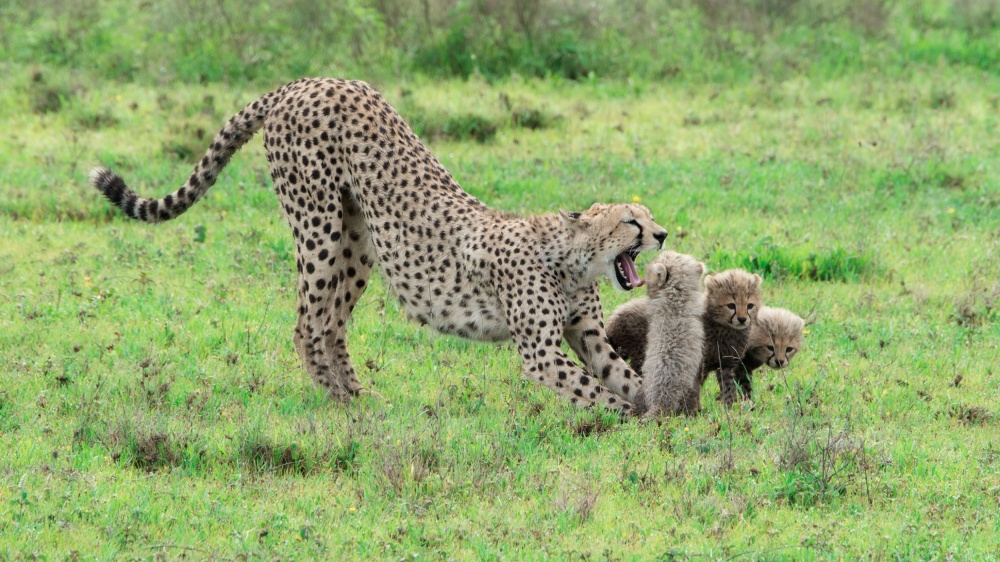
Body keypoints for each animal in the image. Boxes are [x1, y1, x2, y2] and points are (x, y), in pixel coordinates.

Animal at [90, 77, 668, 412]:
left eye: (648, 218)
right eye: (631, 222)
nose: (662, 234)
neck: (574, 261)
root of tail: (310, 80)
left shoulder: (587, 336)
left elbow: (621, 375)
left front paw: (665, 413)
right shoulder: (542, 352)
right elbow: (596, 392)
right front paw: (635, 421)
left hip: (358, 243)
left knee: (330, 324)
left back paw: (360, 395)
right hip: (318, 227)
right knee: (306, 323)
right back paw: (340, 403)